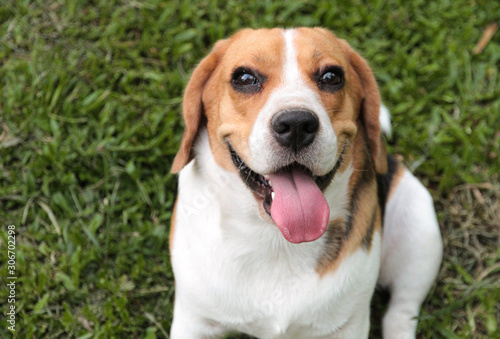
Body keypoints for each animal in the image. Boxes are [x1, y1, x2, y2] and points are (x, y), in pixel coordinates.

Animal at [168, 27, 442, 338]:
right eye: (244, 78)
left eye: (332, 77)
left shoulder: (348, 326)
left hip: (419, 229)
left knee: (401, 312)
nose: (296, 124)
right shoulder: (193, 320)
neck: (276, 240)